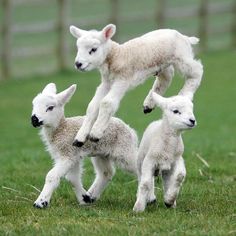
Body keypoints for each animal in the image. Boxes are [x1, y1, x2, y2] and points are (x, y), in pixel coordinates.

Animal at [69, 23, 203, 146]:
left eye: (93, 49)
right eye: (78, 48)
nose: (78, 64)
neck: (117, 56)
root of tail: (184, 36)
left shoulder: (122, 80)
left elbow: (107, 102)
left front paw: (95, 133)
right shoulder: (106, 83)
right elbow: (92, 106)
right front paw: (79, 138)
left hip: (182, 57)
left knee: (196, 70)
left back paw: (184, 94)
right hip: (161, 63)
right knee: (166, 77)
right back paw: (149, 104)